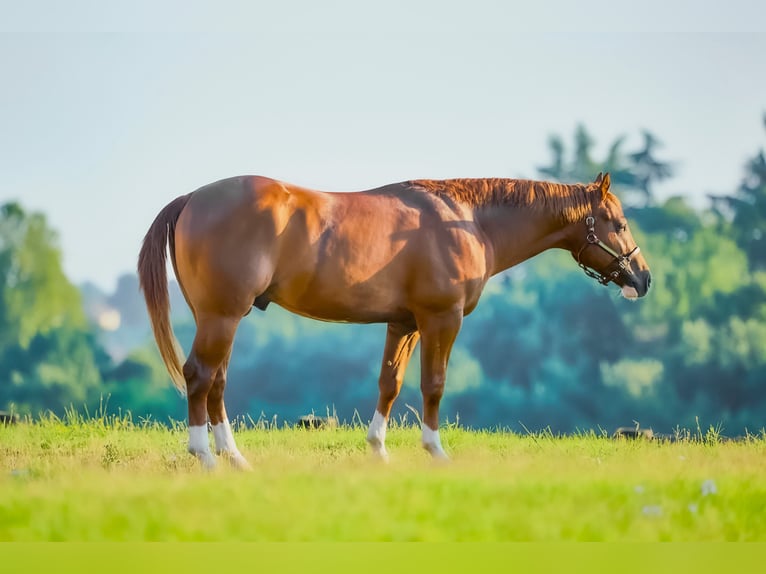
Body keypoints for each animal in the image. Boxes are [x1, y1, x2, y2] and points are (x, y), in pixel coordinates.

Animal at [136, 171, 648, 468]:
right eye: (619, 223)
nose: (643, 278)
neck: (468, 220)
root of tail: (191, 198)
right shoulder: (442, 319)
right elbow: (433, 384)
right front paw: (435, 451)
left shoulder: (404, 324)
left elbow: (390, 384)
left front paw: (379, 450)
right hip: (222, 317)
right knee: (200, 375)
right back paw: (205, 456)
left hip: (221, 318)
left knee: (216, 381)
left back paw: (235, 457)